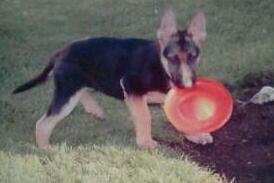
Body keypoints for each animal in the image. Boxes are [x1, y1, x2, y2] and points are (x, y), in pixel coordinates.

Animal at [12, 9, 213, 149]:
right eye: (172, 58)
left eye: (193, 56)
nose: (187, 85)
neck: (161, 65)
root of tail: (61, 51)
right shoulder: (131, 87)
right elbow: (144, 116)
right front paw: (145, 142)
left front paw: (196, 135)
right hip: (67, 93)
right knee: (43, 123)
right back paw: (45, 148)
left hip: (84, 83)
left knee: (83, 93)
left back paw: (95, 110)